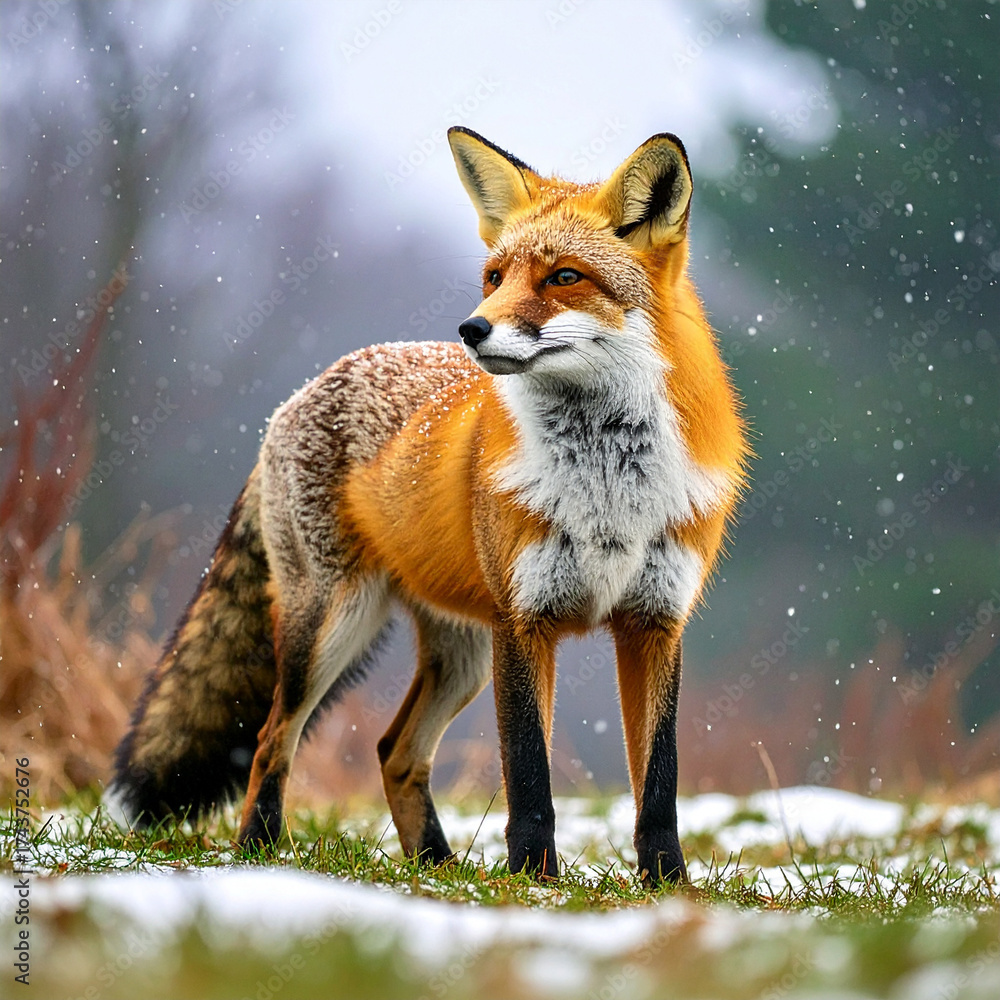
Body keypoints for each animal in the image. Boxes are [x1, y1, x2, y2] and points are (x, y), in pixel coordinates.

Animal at [108, 127, 747, 885]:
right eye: (495, 277)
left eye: (564, 278)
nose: (472, 329)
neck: (607, 487)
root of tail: (297, 394)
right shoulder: (522, 622)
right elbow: (528, 772)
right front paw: (532, 876)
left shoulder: (654, 623)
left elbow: (659, 781)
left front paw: (666, 883)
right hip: (333, 625)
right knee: (271, 738)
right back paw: (261, 850)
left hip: (459, 657)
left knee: (395, 751)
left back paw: (436, 866)